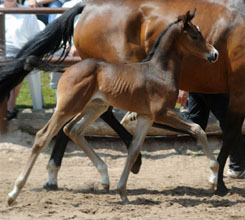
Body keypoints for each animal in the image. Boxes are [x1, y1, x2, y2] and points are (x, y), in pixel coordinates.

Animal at [0, 0, 244, 196]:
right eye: (194, 35)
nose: (214, 54)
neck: (159, 69)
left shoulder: (149, 116)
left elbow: (137, 146)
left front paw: (122, 188)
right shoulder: (163, 112)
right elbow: (200, 129)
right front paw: (215, 179)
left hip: (91, 106)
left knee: (72, 129)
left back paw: (95, 176)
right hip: (70, 105)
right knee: (45, 135)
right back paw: (16, 191)